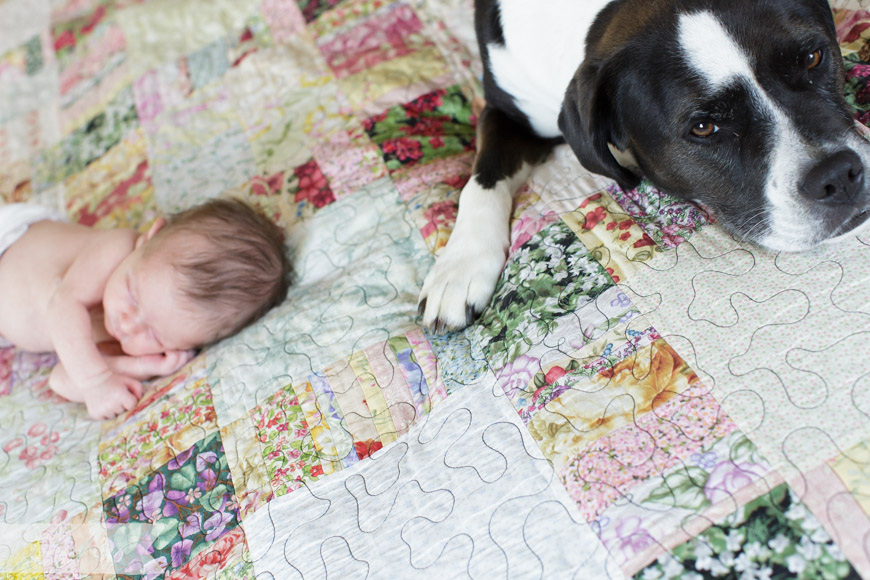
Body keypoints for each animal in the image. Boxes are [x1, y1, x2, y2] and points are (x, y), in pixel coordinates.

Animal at [418, 0, 868, 330]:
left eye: (812, 57)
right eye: (703, 127)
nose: (839, 177)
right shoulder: (503, 110)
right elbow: (481, 179)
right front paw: (458, 267)